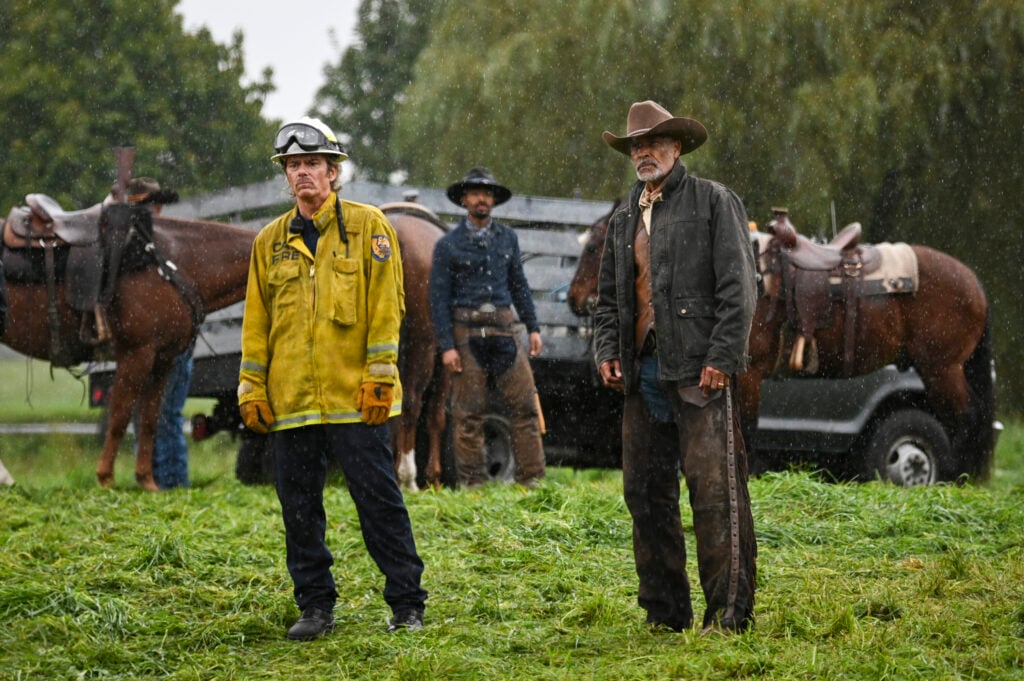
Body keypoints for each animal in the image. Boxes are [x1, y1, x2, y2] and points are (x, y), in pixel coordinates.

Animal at [1, 205, 254, 489]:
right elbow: (119, 417)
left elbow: (149, 420)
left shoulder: (162, 359)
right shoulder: (136, 355)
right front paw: (106, 479)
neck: (172, 262)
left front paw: (147, 482)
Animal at [565, 200, 995, 477]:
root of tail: (974, 283)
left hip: (942, 368)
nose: (573, 299)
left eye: (594, 247)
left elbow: (747, 428)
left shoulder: (750, 373)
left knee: (963, 418)